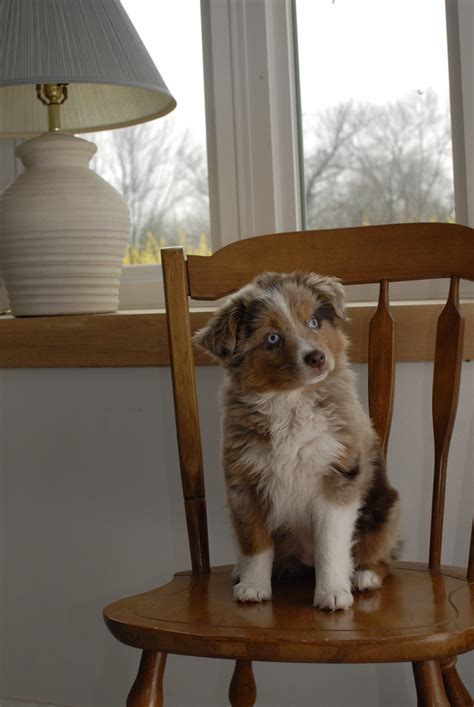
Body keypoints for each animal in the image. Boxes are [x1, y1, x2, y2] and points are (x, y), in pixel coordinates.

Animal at [194, 274, 402, 612]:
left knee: (384, 554)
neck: (290, 401)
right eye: (272, 339)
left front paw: (333, 592)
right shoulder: (245, 483)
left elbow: (330, 542)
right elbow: (255, 542)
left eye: (313, 322)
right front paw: (253, 586)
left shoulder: (337, 477)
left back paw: (364, 576)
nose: (316, 358)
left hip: (386, 510)